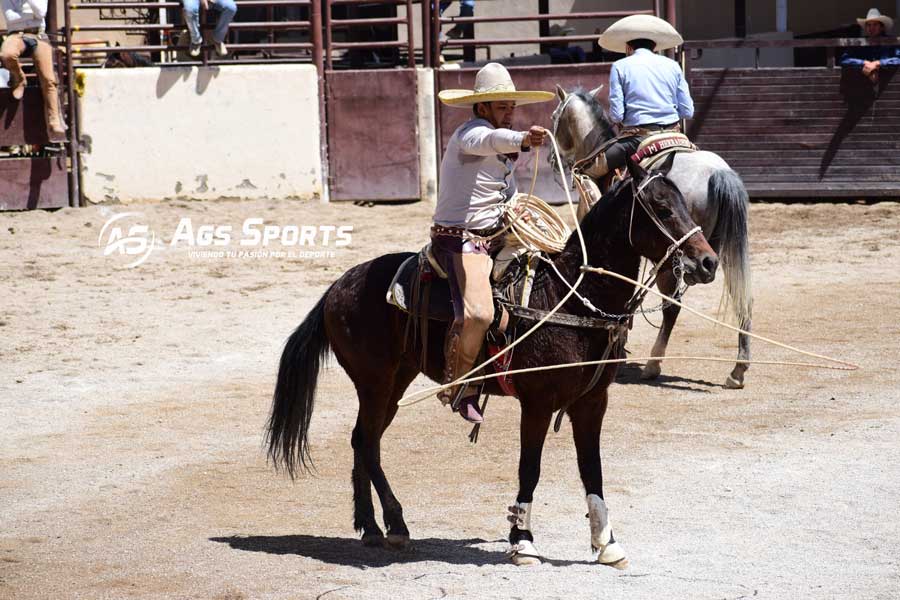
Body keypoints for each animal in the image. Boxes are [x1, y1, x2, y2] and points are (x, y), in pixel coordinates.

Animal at [266, 159, 716, 568]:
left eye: (685, 204)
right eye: (662, 208)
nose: (708, 263)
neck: (569, 297)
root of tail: (338, 285)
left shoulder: (592, 403)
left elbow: (593, 470)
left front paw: (607, 544)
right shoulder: (537, 404)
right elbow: (529, 468)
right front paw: (523, 542)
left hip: (395, 382)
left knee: (365, 439)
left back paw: (374, 526)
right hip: (374, 382)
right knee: (366, 441)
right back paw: (393, 524)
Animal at [548, 88, 752, 390]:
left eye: (555, 117)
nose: (552, 159)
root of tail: (719, 173)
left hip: (678, 261)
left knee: (672, 307)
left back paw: (653, 364)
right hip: (720, 253)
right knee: (741, 298)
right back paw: (738, 370)